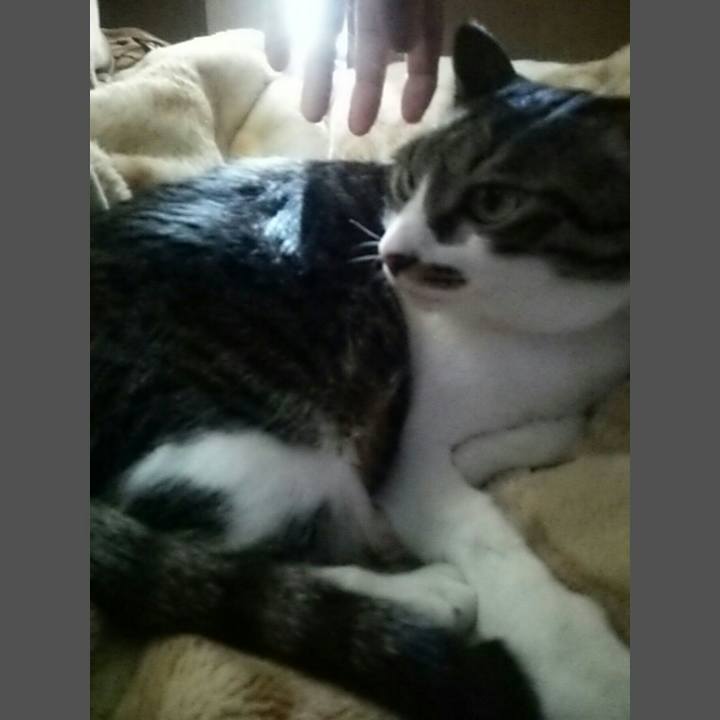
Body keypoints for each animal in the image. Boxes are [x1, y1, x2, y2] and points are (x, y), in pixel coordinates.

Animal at [91, 23, 629, 720]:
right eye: (408, 180)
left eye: (494, 203)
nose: (392, 254)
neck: (543, 333)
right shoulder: (413, 460)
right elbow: (480, 532)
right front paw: (585, 666)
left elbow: (559, 428)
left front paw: (497, 448)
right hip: (254, 458)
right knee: (210, 558)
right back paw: (424, 595)